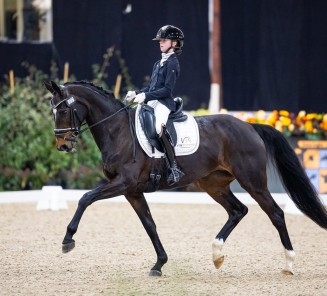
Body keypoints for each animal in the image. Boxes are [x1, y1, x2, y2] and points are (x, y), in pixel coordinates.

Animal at [44, 80, 327, 276]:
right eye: (52, 112)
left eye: (64, 111)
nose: (62, 145)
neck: (119, 131)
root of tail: (249, 125)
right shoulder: (132, 191)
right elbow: (149, 225)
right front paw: (159, 264)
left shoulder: (124, 184)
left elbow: (85, 198)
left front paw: (68, 240)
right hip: (213, 183)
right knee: (238, 210)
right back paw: (217, 255)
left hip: (253, 182)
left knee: (275, 214)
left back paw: (289, 264)